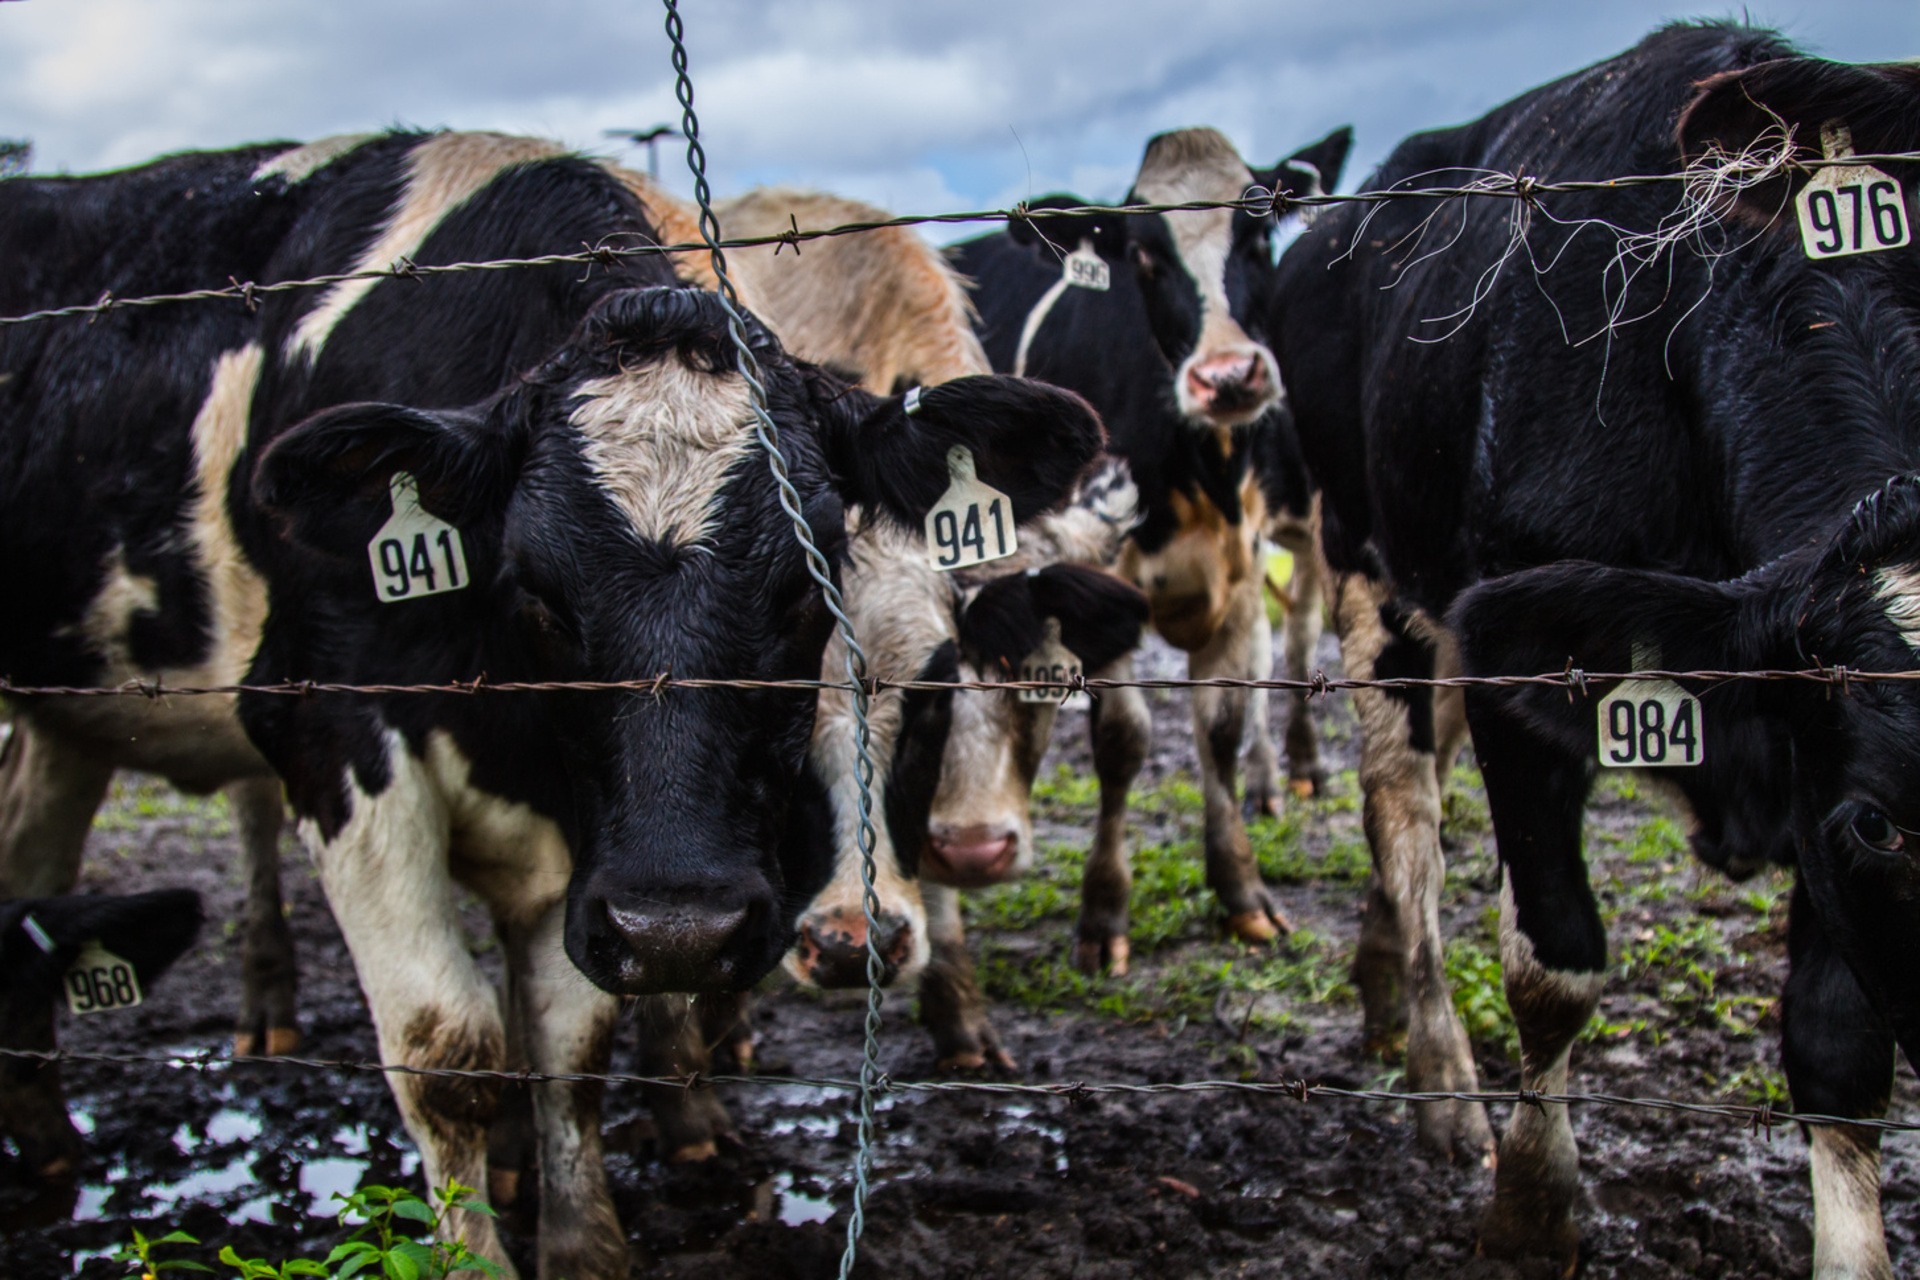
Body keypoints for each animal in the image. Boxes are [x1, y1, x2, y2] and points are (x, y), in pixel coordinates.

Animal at [0, 132, 1105, 1280]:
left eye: (807, 585)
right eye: (534, 587)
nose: (687, 926)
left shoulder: (596, 855)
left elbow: (570, 1045)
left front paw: (576, 1228)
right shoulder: (328, 736)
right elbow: (447, 1048)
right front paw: (479, 1243)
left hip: (63, 724)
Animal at [944, 124, 1351, 974]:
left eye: (1258, 231)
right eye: (1141, 253)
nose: (1227, 376)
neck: (1198, 470)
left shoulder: (1244, 566)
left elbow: (1223, 727)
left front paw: (1242, 889)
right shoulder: (1099, 578)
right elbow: (1122, 741)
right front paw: (1103, 911)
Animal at [1282, 17, 1920, 1274]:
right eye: (1882, 820)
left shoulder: (1815, 747)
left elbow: (1837, 1042)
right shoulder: (1520, 659)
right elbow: (1554, 961)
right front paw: (1532, 1208)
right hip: (1373, 578)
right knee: (1404, 818)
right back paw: (1439, 1075)